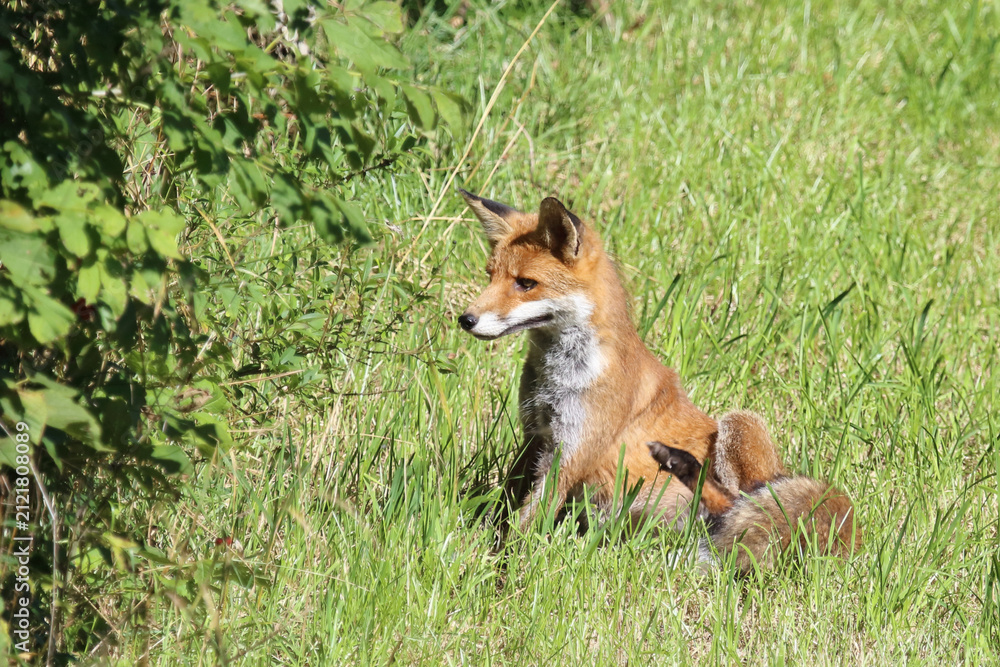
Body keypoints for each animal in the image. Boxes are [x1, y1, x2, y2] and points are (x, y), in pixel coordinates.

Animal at [457, 189, 860, 568]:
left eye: (526, 283)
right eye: (490, 276)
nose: (466, 319)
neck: (559, 377)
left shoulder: (571, 452)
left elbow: (525, 522)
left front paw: (501, 565)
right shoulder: (534, 436)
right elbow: (505, 503)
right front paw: (482, 540)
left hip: (740, 425)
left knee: (730, 503)